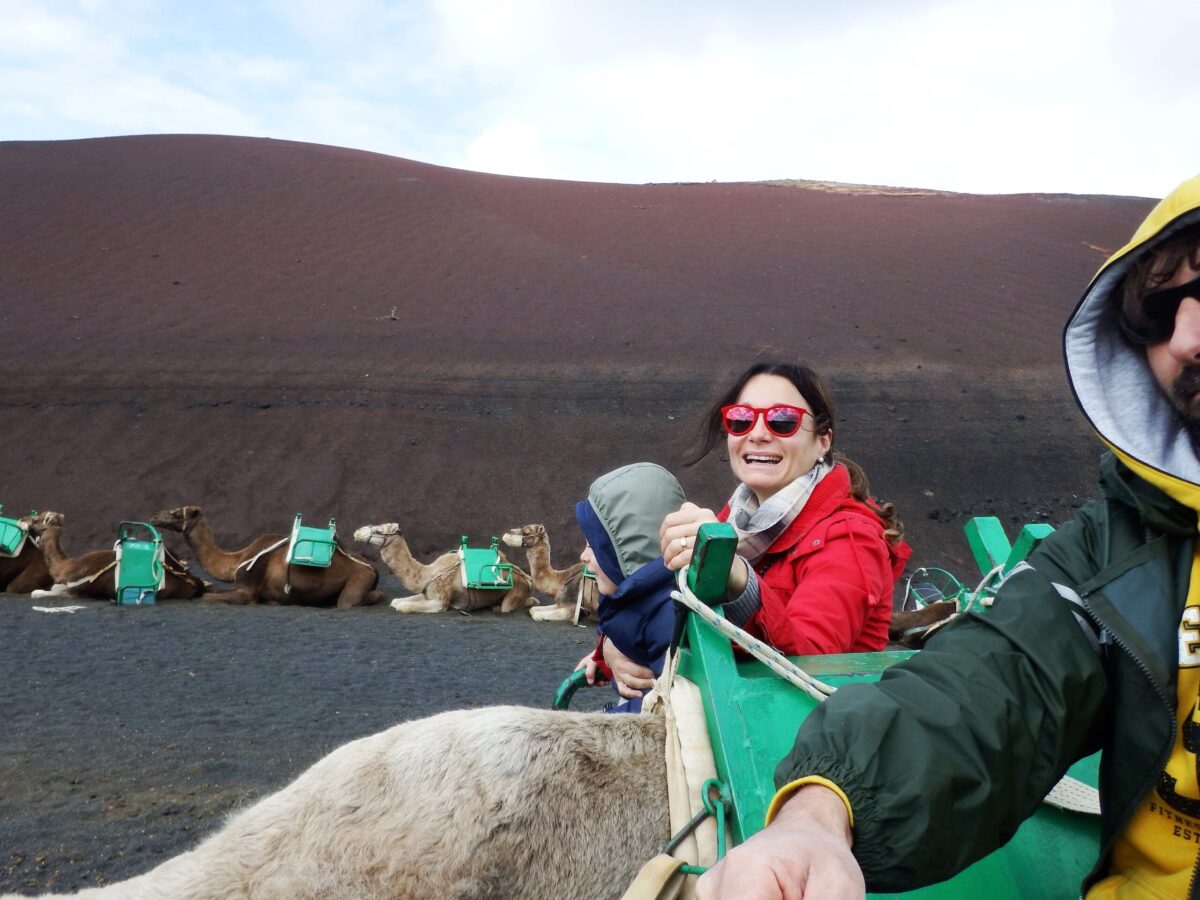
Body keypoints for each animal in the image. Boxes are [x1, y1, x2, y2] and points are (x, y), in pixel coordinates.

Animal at [25, 511, 204, 602]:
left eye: (36, 518)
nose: (23, 520)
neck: (68, 566)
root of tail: (193, 581)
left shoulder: (81, 589)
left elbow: (43, 591)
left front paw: (37, 593)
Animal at [151, 504, 384, 609]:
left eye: (175, 512)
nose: (154, 517)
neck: (238, 558)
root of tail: (373, 568)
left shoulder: (248, 586)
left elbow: (209, 598)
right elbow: (211, 590)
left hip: (360, 578)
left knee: (349, 601)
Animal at [352, 525, 537, 619]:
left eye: (379, 530)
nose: (357, 532)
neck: (426, 573)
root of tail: (528, 580)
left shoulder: (440, 601)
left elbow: (404, 606)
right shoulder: (427, 592)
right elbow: (397, 601)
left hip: (516, 591)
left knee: (513, 605)